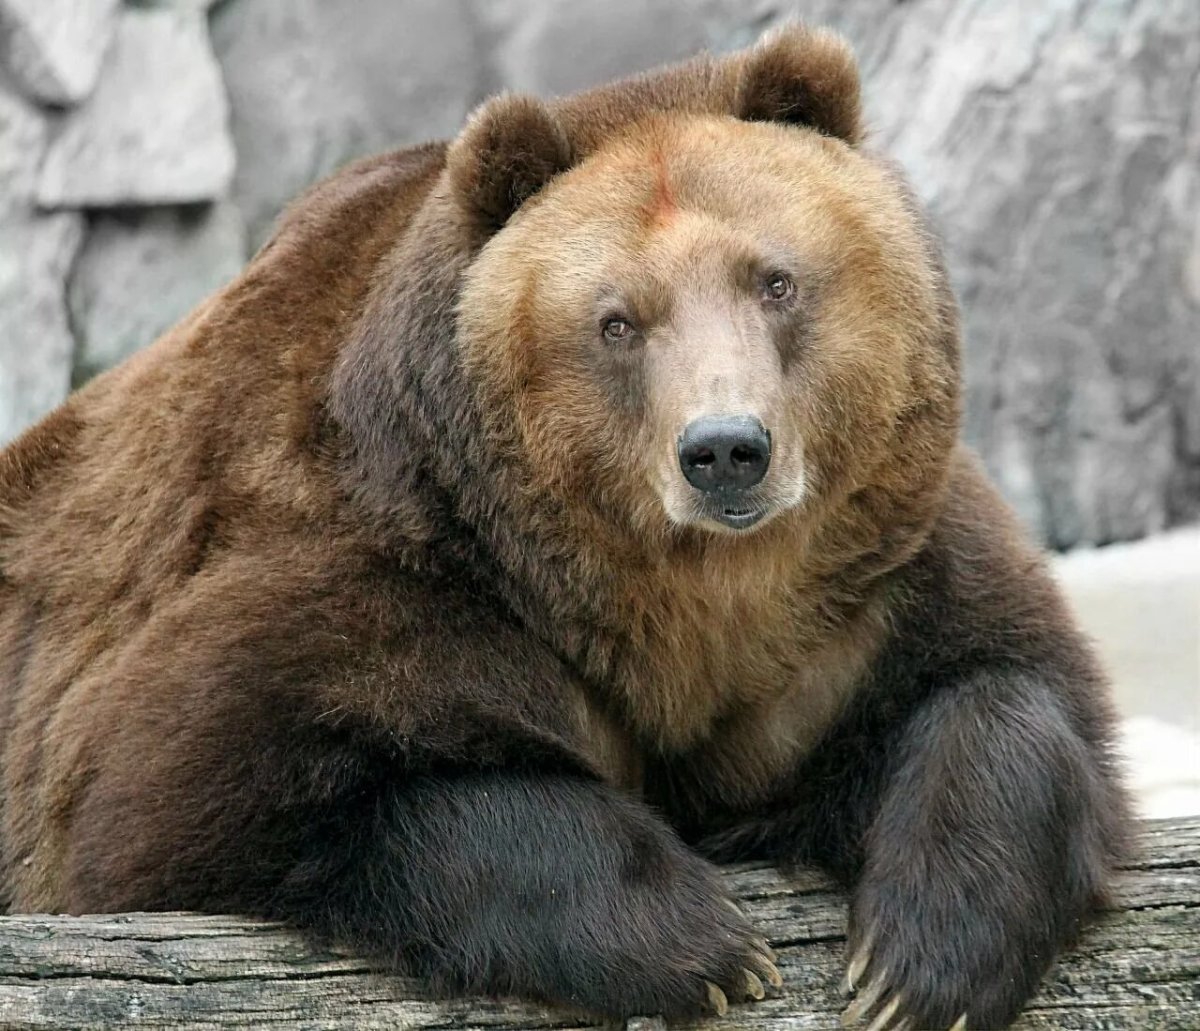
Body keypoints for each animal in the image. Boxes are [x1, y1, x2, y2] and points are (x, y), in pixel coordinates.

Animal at [0, 23, 1130, 1030]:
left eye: (775, 280)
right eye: (617, 320)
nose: (727, 448)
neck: (672, 593)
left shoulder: (871, 582)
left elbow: (1008, 685)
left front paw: (918, 961)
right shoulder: (370, 568)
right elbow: (191, 791)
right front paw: (704, 945)